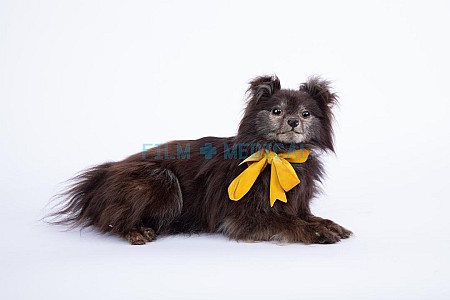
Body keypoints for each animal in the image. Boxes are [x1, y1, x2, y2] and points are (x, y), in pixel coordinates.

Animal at [51, 74, 354, 244]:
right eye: (277, 111)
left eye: (305, 114)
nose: (293, 122)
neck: (280, 156)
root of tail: (103, 174)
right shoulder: (244, 217)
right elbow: (290, 223)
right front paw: (317, 233)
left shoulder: (297, 206)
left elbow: (310, 217)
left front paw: (329, 226)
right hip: (160, 180)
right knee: (114, 220)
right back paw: (136, 231)